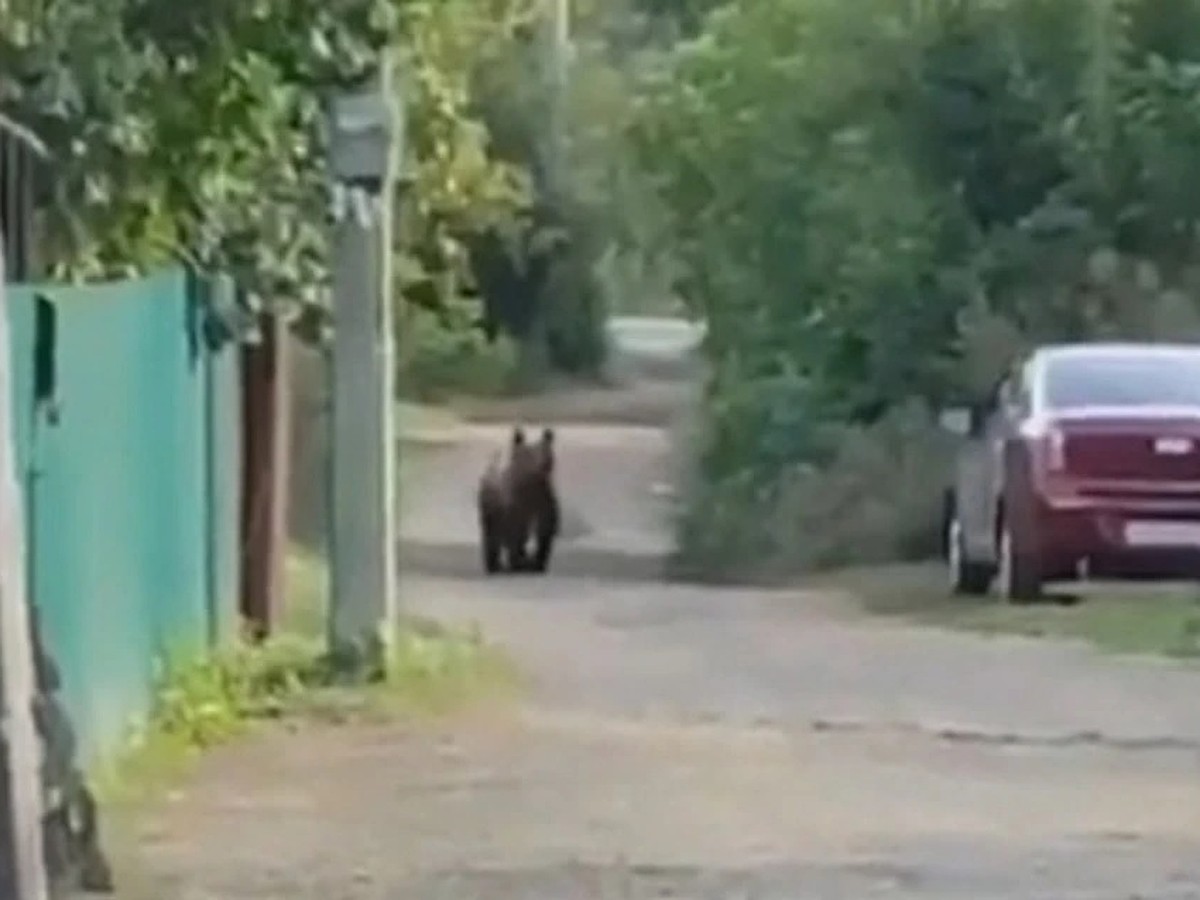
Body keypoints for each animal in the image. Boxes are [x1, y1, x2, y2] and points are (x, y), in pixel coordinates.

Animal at [475, 427, 559, 573]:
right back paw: (498, 564)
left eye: (546, 452)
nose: (543, 464)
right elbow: (514, 534)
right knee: (493, 535)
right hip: (490, 505)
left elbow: (544, 529)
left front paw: (538, 562)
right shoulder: (513, 504)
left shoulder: (543, 501)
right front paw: (522, 562)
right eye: (528, 454)